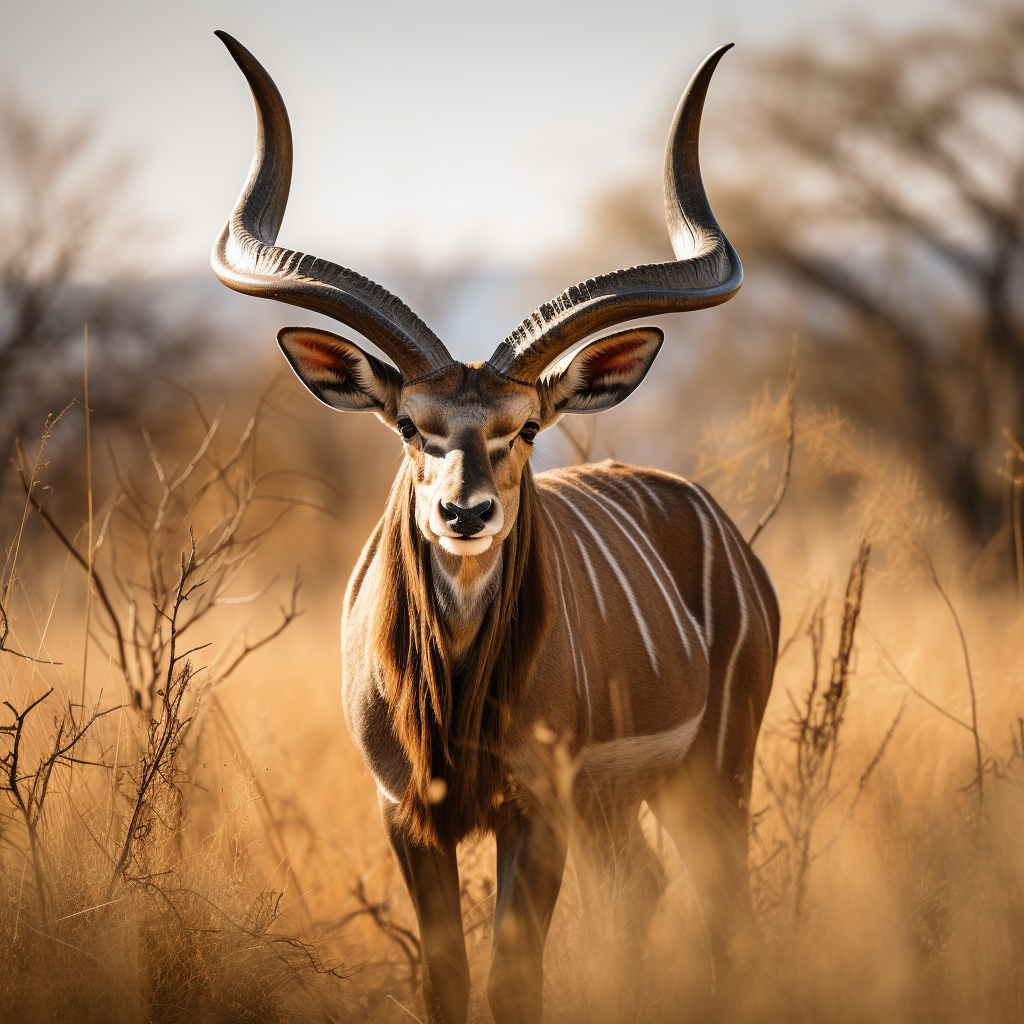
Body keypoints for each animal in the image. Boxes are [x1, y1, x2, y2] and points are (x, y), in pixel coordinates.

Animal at [214, 32, 774, 1024]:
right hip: (623, 808)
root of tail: (736, 553)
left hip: (712, 779)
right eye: (409, 425)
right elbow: (448, 977)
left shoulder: (533, 810)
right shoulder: (409, 815)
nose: (465, 512)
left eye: (527, 428)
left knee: (723, 919)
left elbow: (514, 980)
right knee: (642, 892)